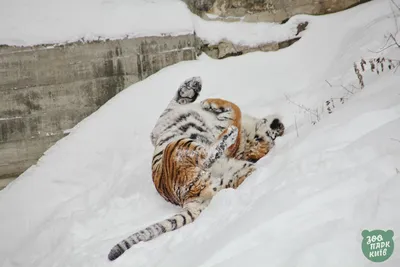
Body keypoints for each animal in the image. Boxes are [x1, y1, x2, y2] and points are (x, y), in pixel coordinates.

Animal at [108, 76, 284, 262]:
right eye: (272, 134)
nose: (279, 126)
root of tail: (187, 199)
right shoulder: (159, 128)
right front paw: (193, 86)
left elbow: (234, 108)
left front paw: (206, 100)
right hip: (233, 173)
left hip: (181, 146)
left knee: (207, 156)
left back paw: (229, 133)